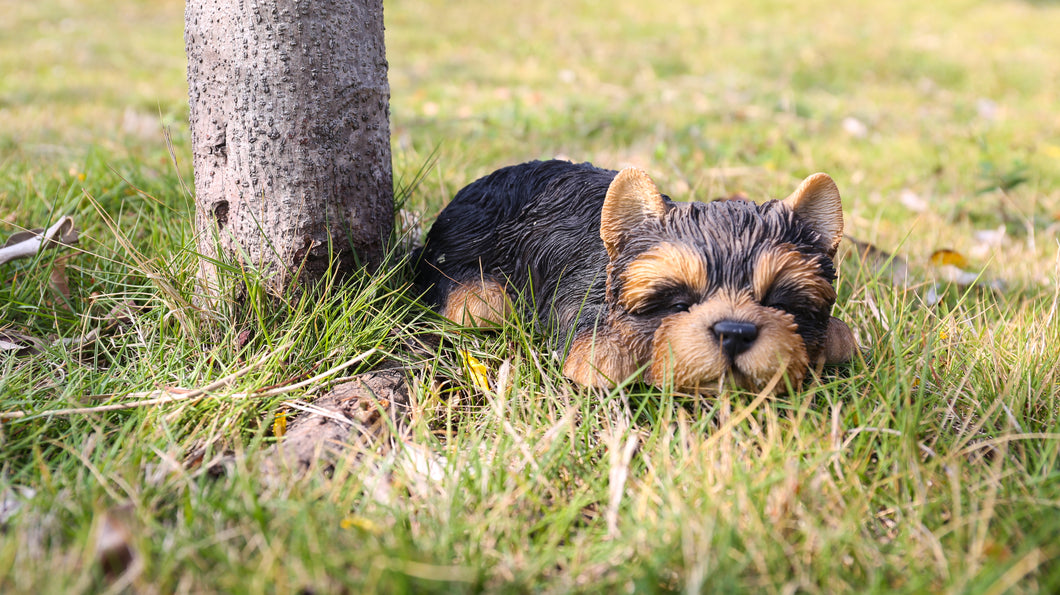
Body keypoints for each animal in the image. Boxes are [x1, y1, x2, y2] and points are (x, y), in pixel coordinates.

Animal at [409, 159, 856, 390]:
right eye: (677, 302)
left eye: (780, 303)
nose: (735, 332)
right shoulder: (579, 291)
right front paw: (608, 354)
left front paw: (832, 337)